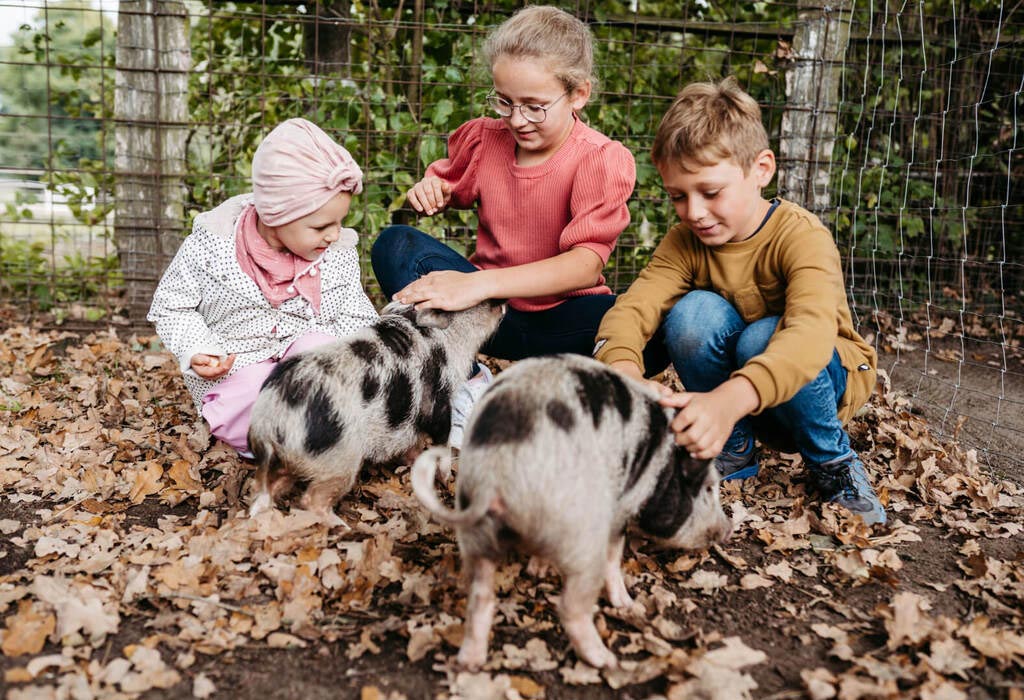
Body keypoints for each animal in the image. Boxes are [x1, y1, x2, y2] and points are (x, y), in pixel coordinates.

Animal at [248, 298, 503, 519]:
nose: (502, 302)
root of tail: (270, 416)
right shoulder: (441, 400)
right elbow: (443, 442)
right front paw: (446, 478)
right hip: (340, 457)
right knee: (313, 500)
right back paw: (341, 526)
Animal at [411, 352, 733, 671]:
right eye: (707, 489)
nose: (728, 528)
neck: (659, 464)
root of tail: (495, 472)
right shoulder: (621, 507)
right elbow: (614, 554)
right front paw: (627, 605)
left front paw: (537, 569)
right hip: (582, 540)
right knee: (569, 606)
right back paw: (606, 658)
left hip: (476, 536)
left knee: (480, 598)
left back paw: (470, 662)